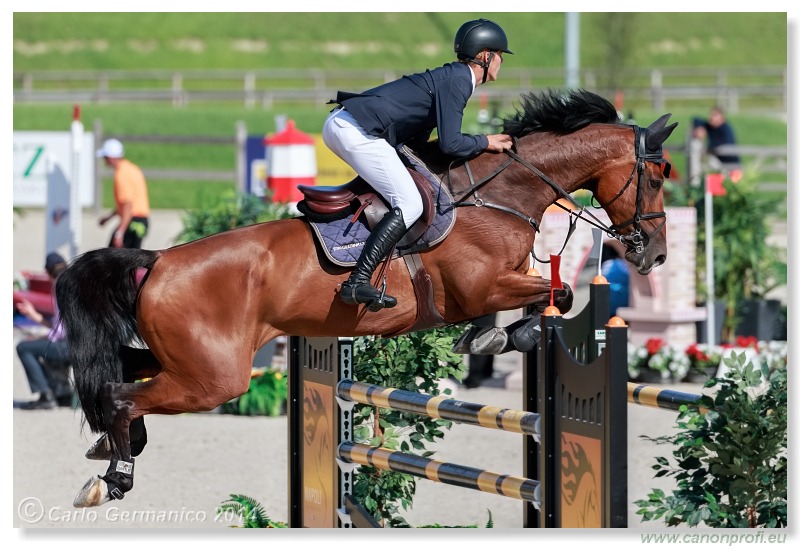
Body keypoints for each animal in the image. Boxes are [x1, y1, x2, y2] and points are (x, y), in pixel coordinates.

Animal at [54, 90, 676, 508]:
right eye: (658, 176)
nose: (655, 255)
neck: (499, 194)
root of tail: (158, 260)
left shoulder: (499, 282)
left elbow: (546, 295)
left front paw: (495, 335)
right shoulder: (480, 284)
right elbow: (559, 292)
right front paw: (502, 334)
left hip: (190, 360)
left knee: (117, 376)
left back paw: (115, 449)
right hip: (214, 376)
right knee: (125, 396)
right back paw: (114, 477)